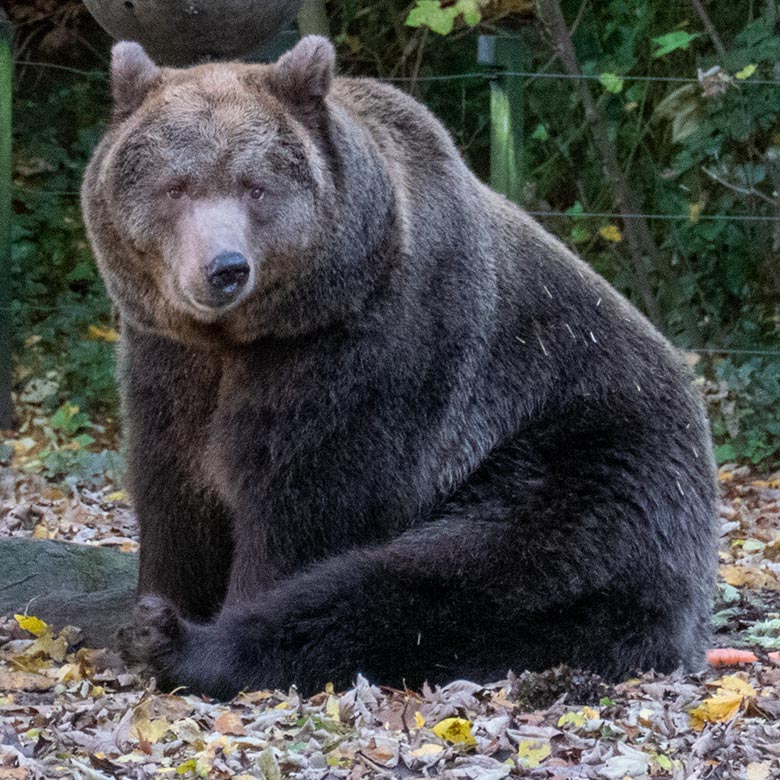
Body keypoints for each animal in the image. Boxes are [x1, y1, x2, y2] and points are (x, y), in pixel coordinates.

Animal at [80, 35, 720, 700]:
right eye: (176, 187)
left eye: (255, 186)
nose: (225, 268)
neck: (242, 338)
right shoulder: (168, 362)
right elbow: (174, 491)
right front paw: (151, 606)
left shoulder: (362, 352)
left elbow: (306, 503)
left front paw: (204, 612)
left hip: (585, 463)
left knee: (439, 583)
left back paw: (187, 646)